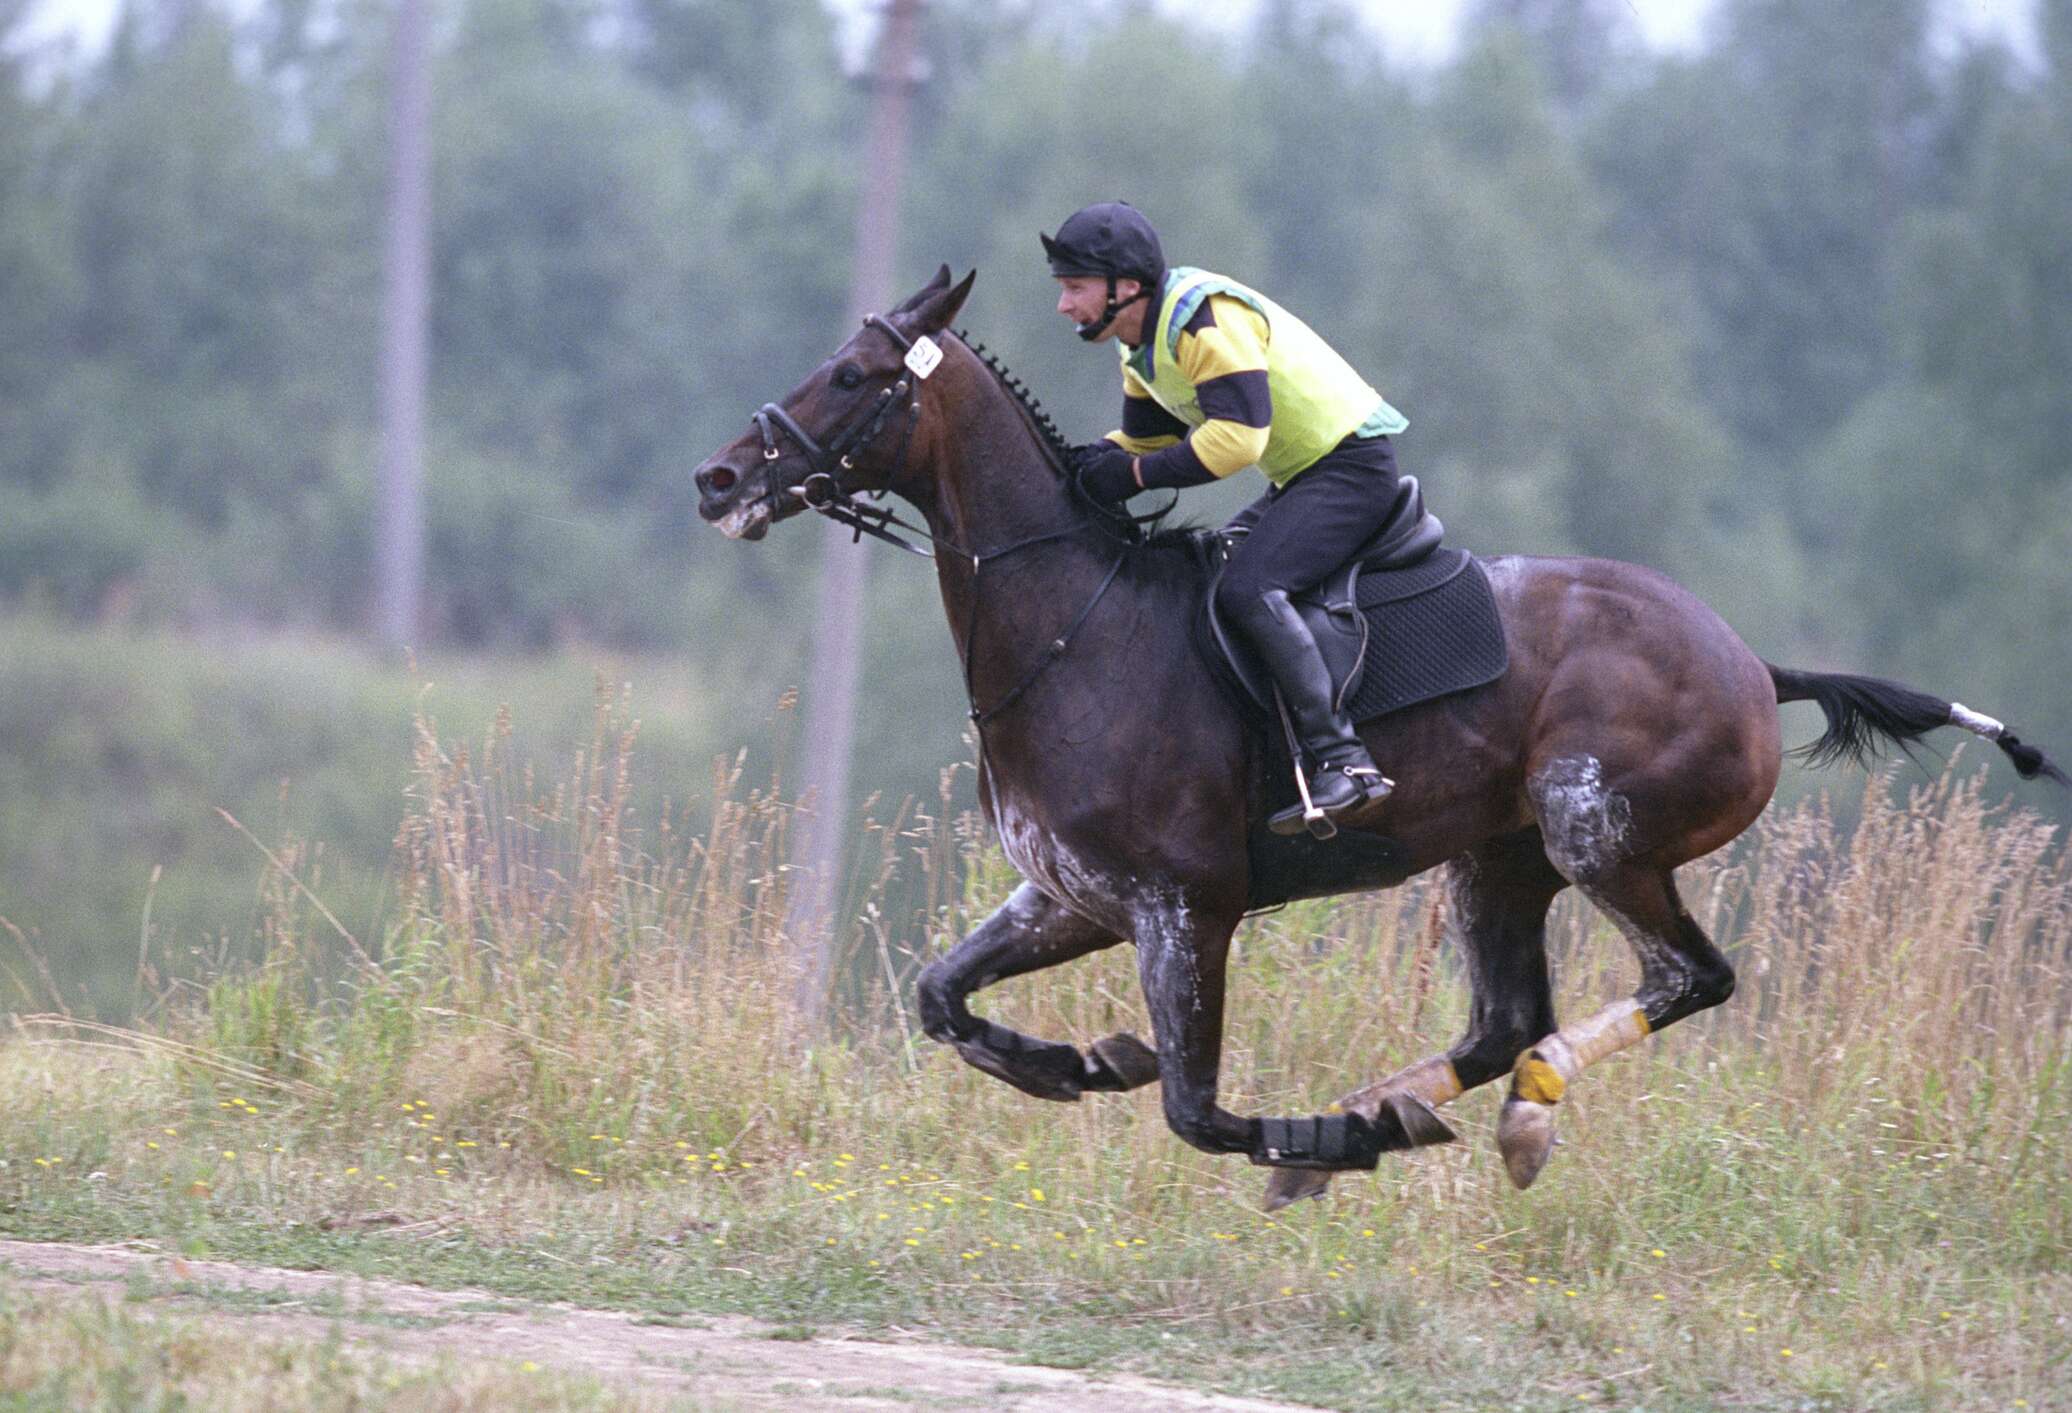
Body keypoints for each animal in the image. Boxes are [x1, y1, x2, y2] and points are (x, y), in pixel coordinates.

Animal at [692, 264, 2055, 1201]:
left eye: (854, 377)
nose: (718, 479)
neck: (1074, 626)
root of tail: (1747, 663)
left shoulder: (1184, 908)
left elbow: (1196, 1111)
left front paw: (1312, 1137)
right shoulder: (1073, 898)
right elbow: (941, 999)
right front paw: (1080, 1064)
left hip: (1595, 834)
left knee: (1684, 981)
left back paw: (1501, 1111)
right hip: (1496, 859)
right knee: (1503, 1021)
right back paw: (1409, 1104)